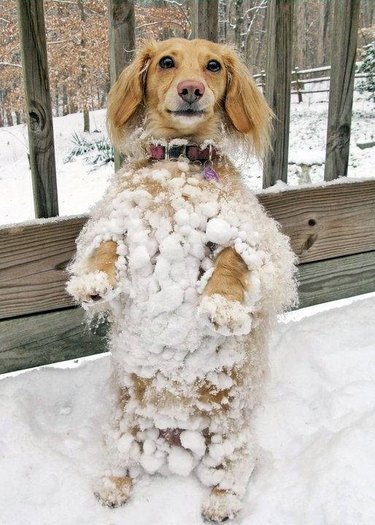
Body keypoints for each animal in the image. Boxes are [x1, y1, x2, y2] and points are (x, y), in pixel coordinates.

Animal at [66, 39, 298, 520]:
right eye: (166, 62)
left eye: (213, 66)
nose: (191, 89)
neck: (180, 158)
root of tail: (174, 433)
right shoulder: (122, 220)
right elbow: (107, 245)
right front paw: (92, 281)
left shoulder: (249, 237)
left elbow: (232, 259)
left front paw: (221, 306)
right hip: (125, 426)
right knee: (123, 462)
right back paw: (112, 486)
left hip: (229, 434)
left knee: (236, 468)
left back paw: (222, 502)